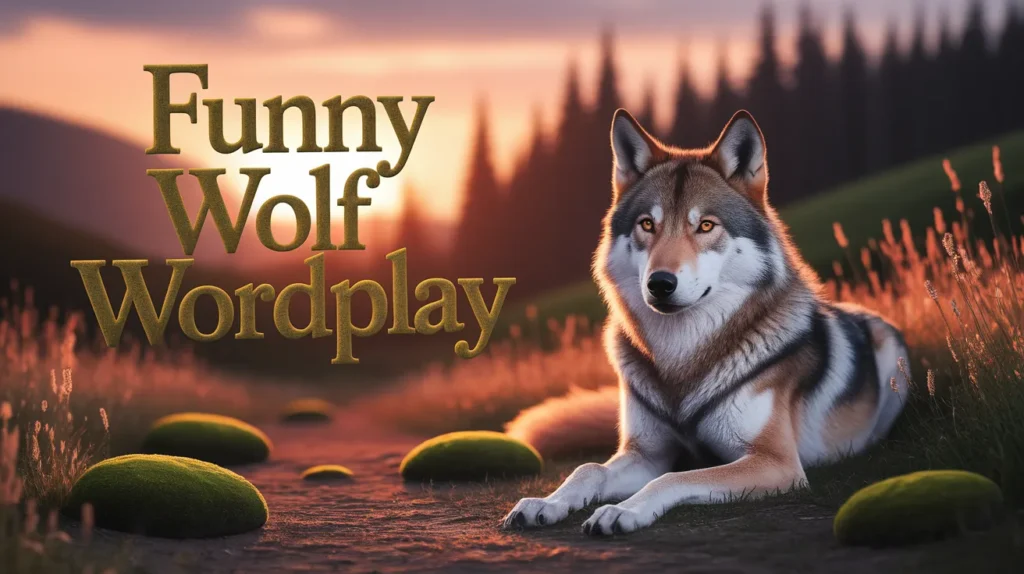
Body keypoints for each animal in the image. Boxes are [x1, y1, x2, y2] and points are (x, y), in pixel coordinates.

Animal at [501, 109, 909, 536]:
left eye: (706, 226)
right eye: (647, 225)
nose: (660, 283)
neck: (681, 357)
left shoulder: (775, 463)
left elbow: (675, 477)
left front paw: (622, 511)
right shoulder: (646, 453)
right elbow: (588, 469)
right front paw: (546, 503)